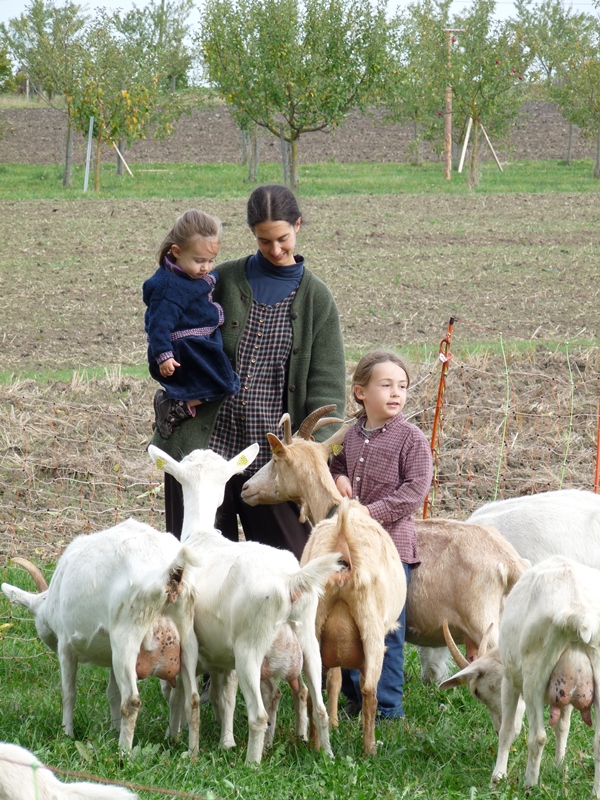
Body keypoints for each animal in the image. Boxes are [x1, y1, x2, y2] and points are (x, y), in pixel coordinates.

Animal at [1, 520, 200, 756]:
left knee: (132, 700)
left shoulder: (66, 646)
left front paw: (67, 733)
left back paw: (124, 753)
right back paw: (190, 753)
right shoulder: (111, 655)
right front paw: (113, 729)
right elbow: (113, 693)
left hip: (127, 635)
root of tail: (170, 572)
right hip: (186, 633)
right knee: (192, 699)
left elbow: (68, 692)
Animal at [147, 444, 340, 764]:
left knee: (259, 715)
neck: (200, 535)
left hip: (250, 646)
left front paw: (182, 743)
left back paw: (252, 763)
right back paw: (326, 755)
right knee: (320, 707)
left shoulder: (190, 640)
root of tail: (290, 580)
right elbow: (224, 695)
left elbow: (186, 697)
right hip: (308, 639)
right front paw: (225, 741)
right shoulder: (222, 654)